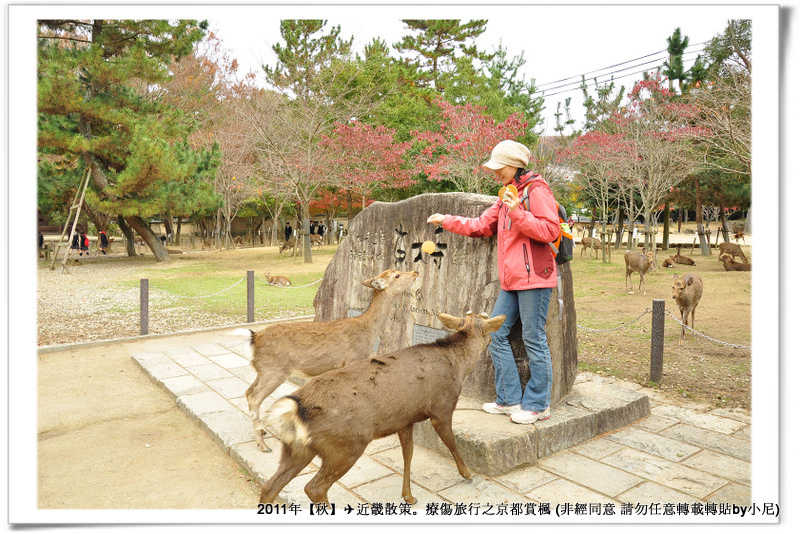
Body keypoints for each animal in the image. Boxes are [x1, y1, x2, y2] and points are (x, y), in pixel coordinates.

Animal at [236, 270, 418, 454]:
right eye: (397, 275)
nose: (415, 272)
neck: (368, 332)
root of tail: (254, 338)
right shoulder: (352, 360)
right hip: (274, 371)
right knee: (254, 396)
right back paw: (263, 445)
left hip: (263, 371)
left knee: (248, 391)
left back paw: (263, 431)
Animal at [260, 312, 504, 504]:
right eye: (488, 330)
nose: (491, 341)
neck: (459, 367)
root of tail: (295, 408)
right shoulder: (441, 408)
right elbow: (451, 442)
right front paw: (467, 473)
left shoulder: (405, 419)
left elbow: (408, 454)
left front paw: (409, 496)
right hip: (346, 445)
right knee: (314, 488)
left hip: (296, 448)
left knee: (270, 486)